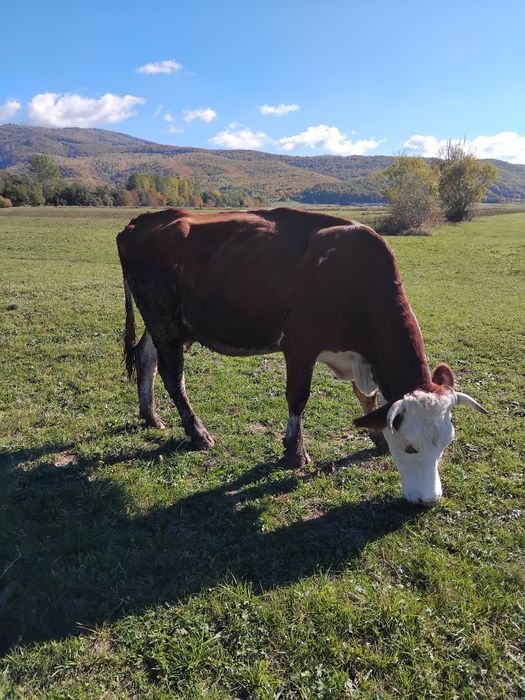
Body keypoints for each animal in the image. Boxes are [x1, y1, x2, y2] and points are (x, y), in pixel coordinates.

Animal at [117, 207, 487, 505]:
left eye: (446, 443)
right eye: (410, 446)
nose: (429, 501)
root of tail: (142, 221)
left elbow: (366, 398)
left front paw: (377, 435)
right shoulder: (299, 346)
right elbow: (297, 398)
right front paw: (295, 453)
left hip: (163, 322)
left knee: (146, 358)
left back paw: (150, 415)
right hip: (164, 318)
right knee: (172, 375)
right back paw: (197, 433)